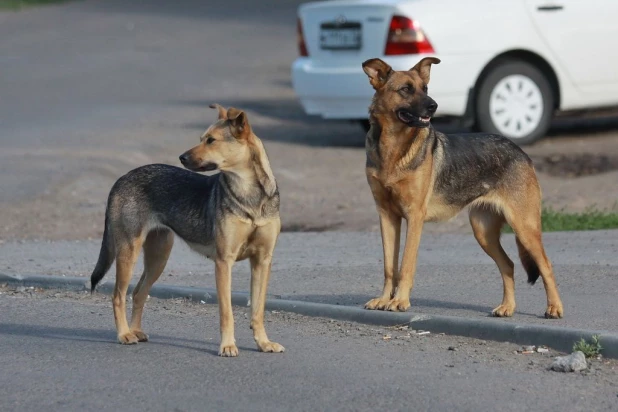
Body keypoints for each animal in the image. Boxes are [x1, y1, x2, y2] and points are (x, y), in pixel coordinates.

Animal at [90, 104, 282, 356]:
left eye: (211, 140)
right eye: (201, 138)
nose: (181, 157)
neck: (249, 194)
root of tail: (121, 178)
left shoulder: (262, 261)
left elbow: (258, 310)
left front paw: (263, 343)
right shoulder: (224, 262)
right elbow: (226, 312)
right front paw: (227, 345)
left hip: (158, 257)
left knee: (138, 292)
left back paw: (135, 331)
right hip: (128, 252)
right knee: (118, 296)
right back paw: (124, 335)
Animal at [358, 56, 560, 318]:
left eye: (425, 88)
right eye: (405, 89)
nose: (433, 106)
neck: (393, 148)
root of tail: (520, 151)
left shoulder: (414, 217)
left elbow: (406, 265)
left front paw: (400, 301)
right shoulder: (387, 216)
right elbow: (390, 267)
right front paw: (384, 299)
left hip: (524, 227)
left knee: (545, 265)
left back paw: (554, 307)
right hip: (483, 231)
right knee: (508, 264)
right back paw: (507, 307)